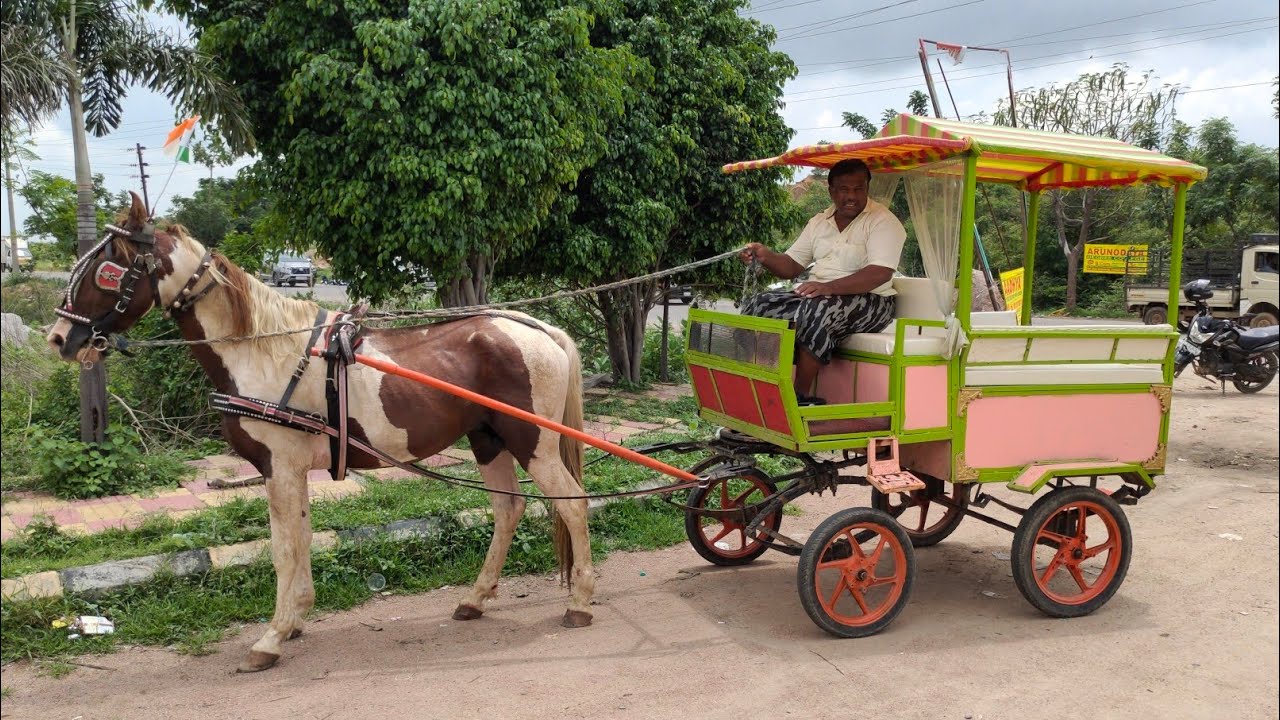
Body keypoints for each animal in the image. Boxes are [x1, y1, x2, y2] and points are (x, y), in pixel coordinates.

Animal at [47, 194, 595, 672]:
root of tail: (536, 328)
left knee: (573, 505)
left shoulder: (280, 467)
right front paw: (293, 621)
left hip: (534, 444)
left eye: (105, 271)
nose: (58, 338)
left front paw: (271, 638)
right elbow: (301, 538)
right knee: (508, 509)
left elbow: (284, 548)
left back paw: (581, 601)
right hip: (488, 440)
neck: (263, 351)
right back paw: (476, 598)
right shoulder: (289, 471)